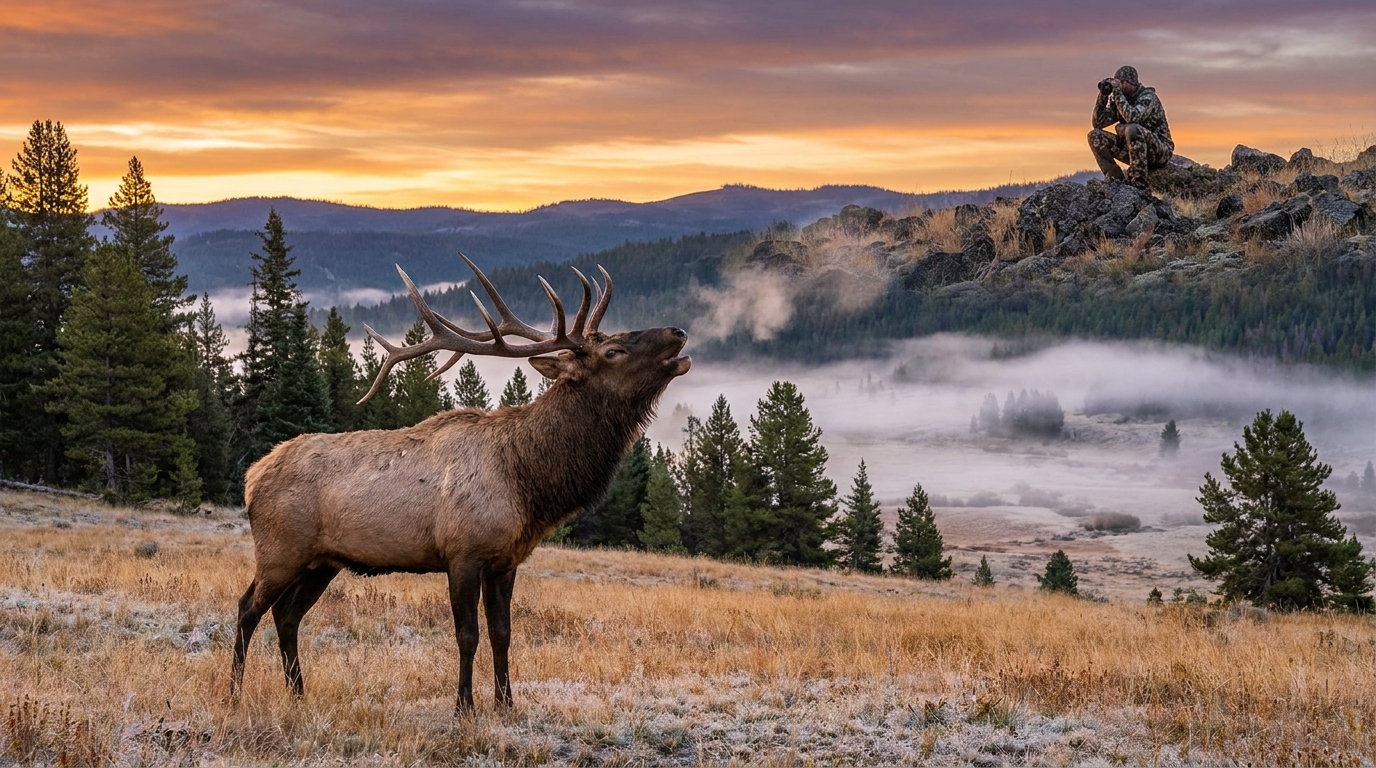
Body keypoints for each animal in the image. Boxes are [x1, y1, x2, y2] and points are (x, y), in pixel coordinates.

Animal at [229, 255, 691, 713]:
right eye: (613, 351)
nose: (679, 332)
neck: (529, 484)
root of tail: (252, 477)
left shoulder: (506, 561)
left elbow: (503, 634)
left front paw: (506, 704)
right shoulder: (462, 553)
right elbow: (467, 635)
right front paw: (464, 707)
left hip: (322, 561)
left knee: (287, 616)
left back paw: (298, 694)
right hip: (280, 549)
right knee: (247, 608)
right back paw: (234, 693)